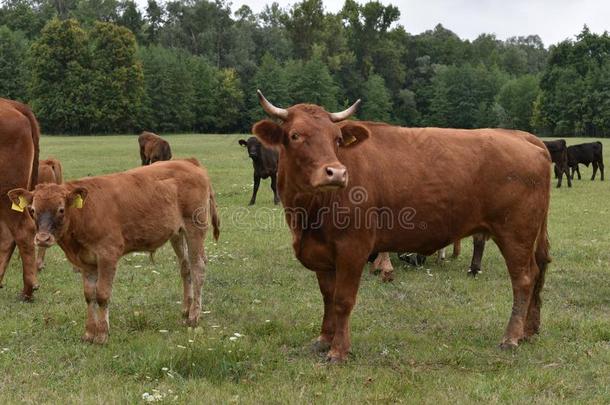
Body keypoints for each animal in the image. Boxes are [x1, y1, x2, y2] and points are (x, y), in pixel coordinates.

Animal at [7, 159, 218, 342]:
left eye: (60, 209)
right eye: (32, 210)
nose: (42, 239)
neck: (84, 214)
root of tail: (190, 163)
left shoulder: (108, 254)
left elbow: (102, 295)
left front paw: (102, 334)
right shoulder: (87, 262)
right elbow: (89, 295)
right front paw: (89, 333)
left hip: (195, 228)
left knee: (198, 268)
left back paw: (194, 316)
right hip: (178, 234)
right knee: (186, 268)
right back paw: (186, 309)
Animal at [252, 90, 552, 362]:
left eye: (336, 139)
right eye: (295, 135)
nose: (336, 173)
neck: (308, 213)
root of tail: (522, 136)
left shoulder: (352, 248)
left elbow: (343, 300)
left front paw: (338, 350)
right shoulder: (322, 253)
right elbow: (327, 296)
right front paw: (324, 339)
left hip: (515, 233)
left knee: (524, 279)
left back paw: (511, 337)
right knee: (539, 270)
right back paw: (529, 331)